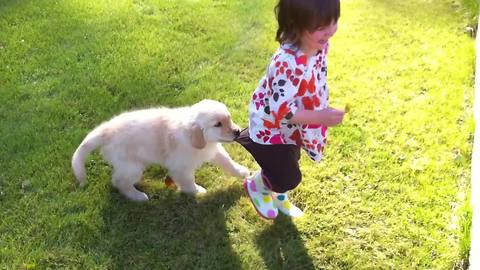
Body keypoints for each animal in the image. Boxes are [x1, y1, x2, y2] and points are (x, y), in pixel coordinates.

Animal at [73, 99, 251, 200]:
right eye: (217, 124)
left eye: (229, 118)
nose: (237, 132)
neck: (199, 140)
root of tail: (106, 130)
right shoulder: (181, 167)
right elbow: (188, 181)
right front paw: (197, 191)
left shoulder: (213, 150)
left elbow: (227, 161)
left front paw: (242, 172)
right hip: (132, 166)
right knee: (119, 182)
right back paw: (137, 196)